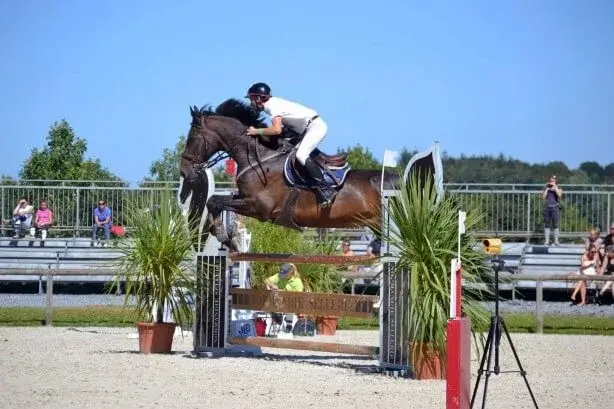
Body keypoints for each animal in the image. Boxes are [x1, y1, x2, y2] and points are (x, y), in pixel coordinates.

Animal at [178, 97, 442, 250]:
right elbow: (214, 201)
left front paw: (225, 237)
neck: (259, 157)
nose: (184, 171)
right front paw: (225, 236)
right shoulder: (244, 199)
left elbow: (215, 201)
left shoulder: (259, 207)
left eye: (193, 138)